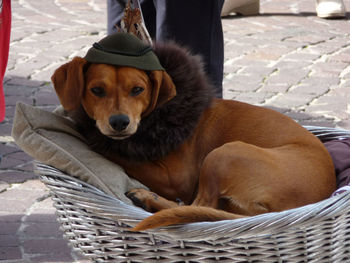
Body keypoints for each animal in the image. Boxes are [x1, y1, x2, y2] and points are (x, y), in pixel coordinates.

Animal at [52, 40, 336, 232]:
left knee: (198, 204)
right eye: (97, 90)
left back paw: (148, 198)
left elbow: (118, 153)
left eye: (137, 89)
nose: (120, 122)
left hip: (224, 154)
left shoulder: (178, 178)